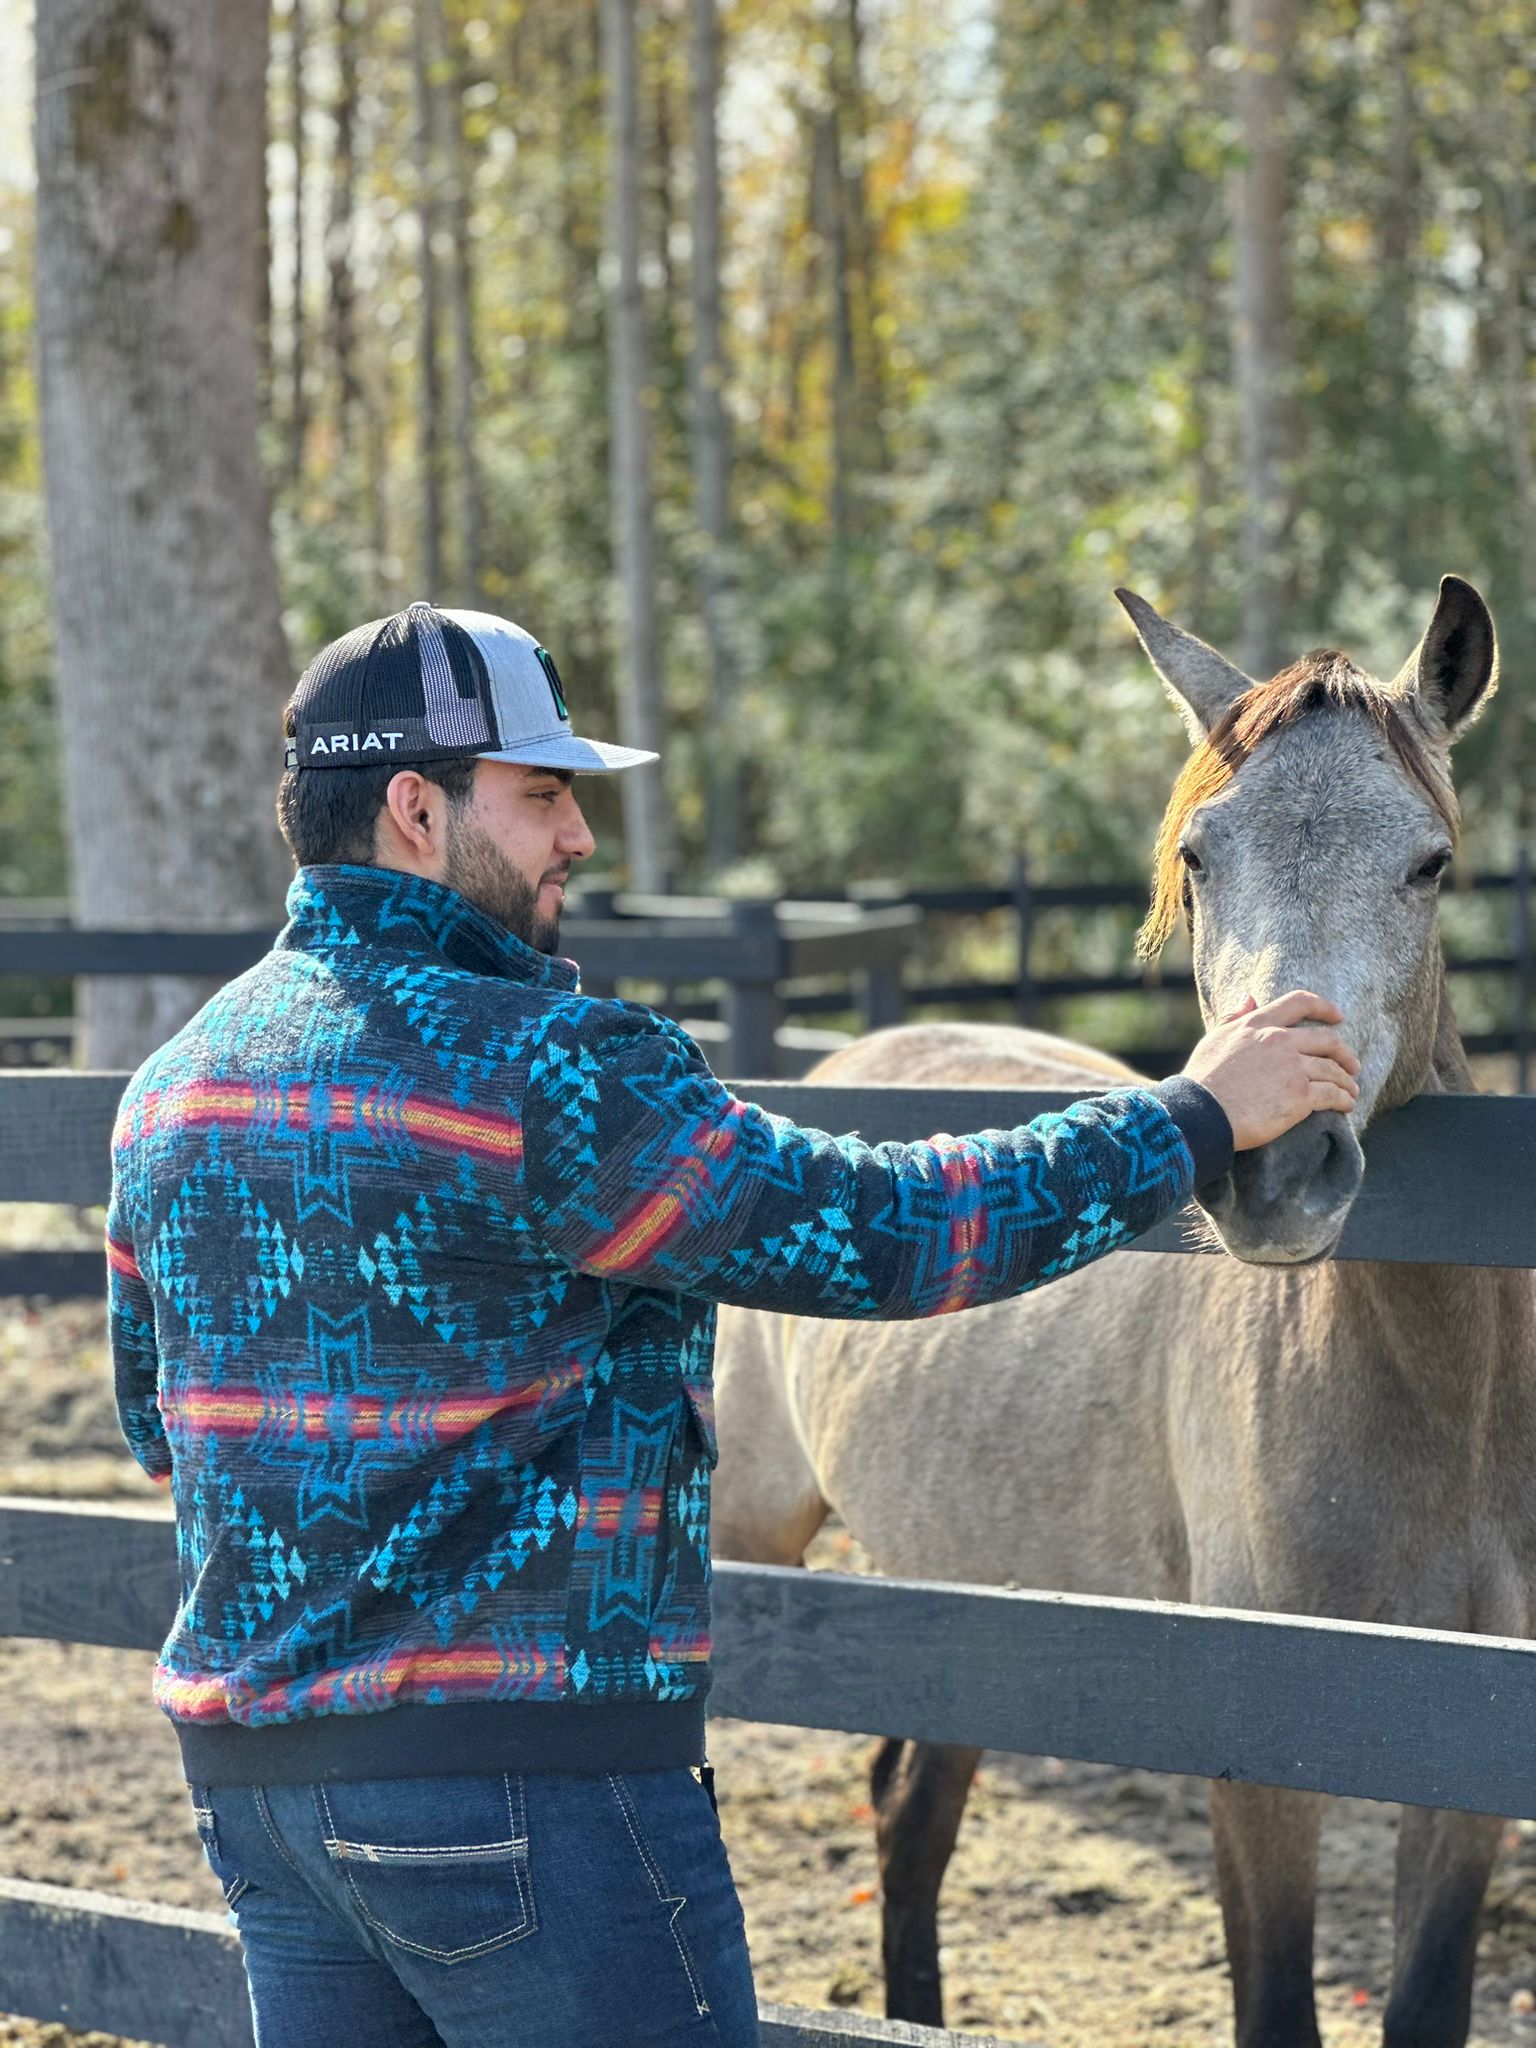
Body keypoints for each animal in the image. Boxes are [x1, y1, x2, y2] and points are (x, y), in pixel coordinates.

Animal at [712, 577, 1536, 2048]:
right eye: (1200, 856)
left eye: (1430, 863)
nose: (1279, 1166)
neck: (1450, 1419)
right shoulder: (1261, 1763)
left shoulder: (1469, 1765)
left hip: (962, 1586)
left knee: (910, 1818)